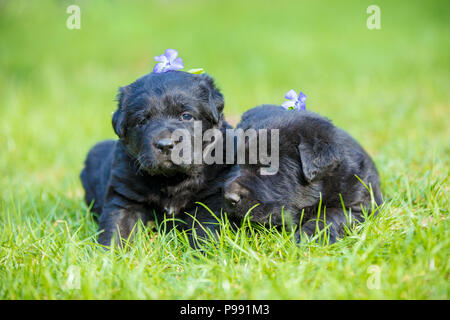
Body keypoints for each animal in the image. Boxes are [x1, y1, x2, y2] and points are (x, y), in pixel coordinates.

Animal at [80, 70, 232, 248]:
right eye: (142, 121)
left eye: (186, 116)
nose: (165, 145)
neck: (171, 179)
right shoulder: (125, 195)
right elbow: (117, 227)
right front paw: (111, 253)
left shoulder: (211, 197)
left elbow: (205, 230)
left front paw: (203, 252)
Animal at [223, 105, 382, 242]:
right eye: (236, 163)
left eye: (268, 166)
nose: (229, 198)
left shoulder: (359, 205)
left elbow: (330, 216)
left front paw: (307, 238)